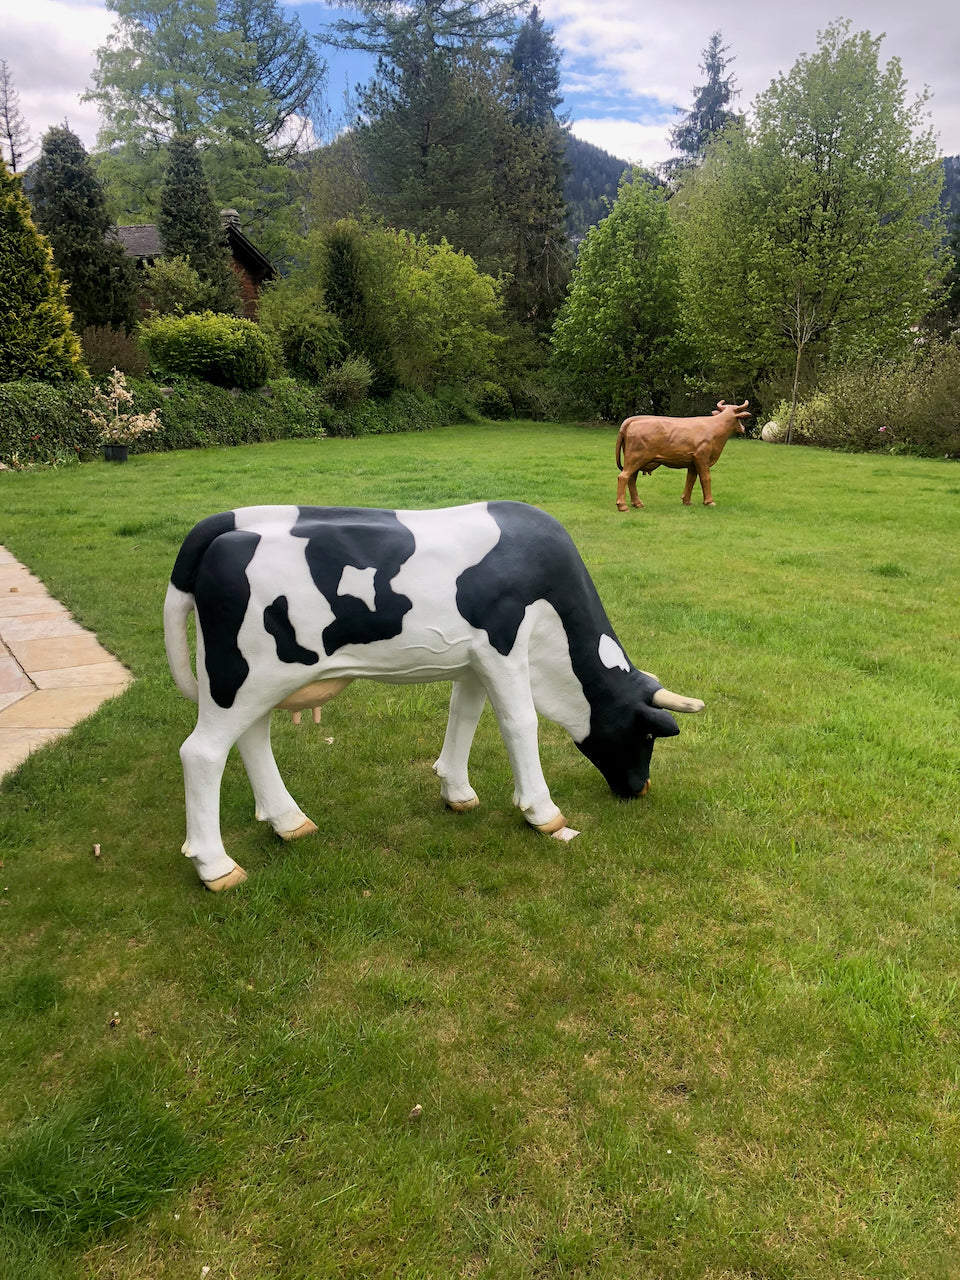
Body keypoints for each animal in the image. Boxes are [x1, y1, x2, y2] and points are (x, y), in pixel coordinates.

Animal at [164, 501, 705, 890]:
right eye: (646, 735)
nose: (639, 788)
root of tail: (219, 529)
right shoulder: (505, 645)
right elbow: (520, 723)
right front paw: (542, 813)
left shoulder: (474, 659)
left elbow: (464, 714)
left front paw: (457, 792)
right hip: (243, 677)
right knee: (201, 753)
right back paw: (216, 867)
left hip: (252, 681)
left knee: (252, 739)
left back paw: (288, 821)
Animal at [615, 400, 751, 511]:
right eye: (739, 419)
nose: (744, 428)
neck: (715, 429)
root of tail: (632, 420)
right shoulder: (702, 457)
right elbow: (705, 478)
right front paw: (709, 502)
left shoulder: (693, 462)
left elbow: (690, 480)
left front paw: (687, 501)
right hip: (636, 458)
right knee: (623, 477)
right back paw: (623, 506)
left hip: (634, 460)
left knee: (631, 479)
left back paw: (638, 504)